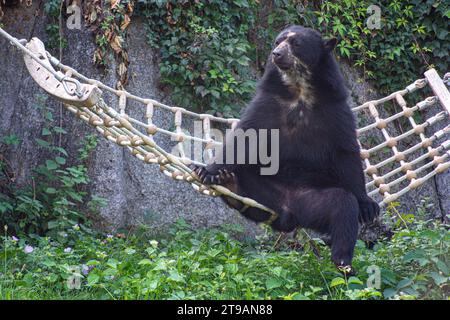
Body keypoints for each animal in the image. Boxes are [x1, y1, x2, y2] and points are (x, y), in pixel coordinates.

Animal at [192, 25, 378, 276]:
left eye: (296, 43)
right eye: (278, 41)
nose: (276, 54)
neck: (299, 88)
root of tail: (288, 212)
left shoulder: (335, 108)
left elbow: (346, 152)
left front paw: (368, 206)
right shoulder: (268, 102)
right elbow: (244, 138)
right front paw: (207, 171)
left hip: (314, 200)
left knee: (343, 207)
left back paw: (344, 264)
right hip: (261, 190)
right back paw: (229, 183)